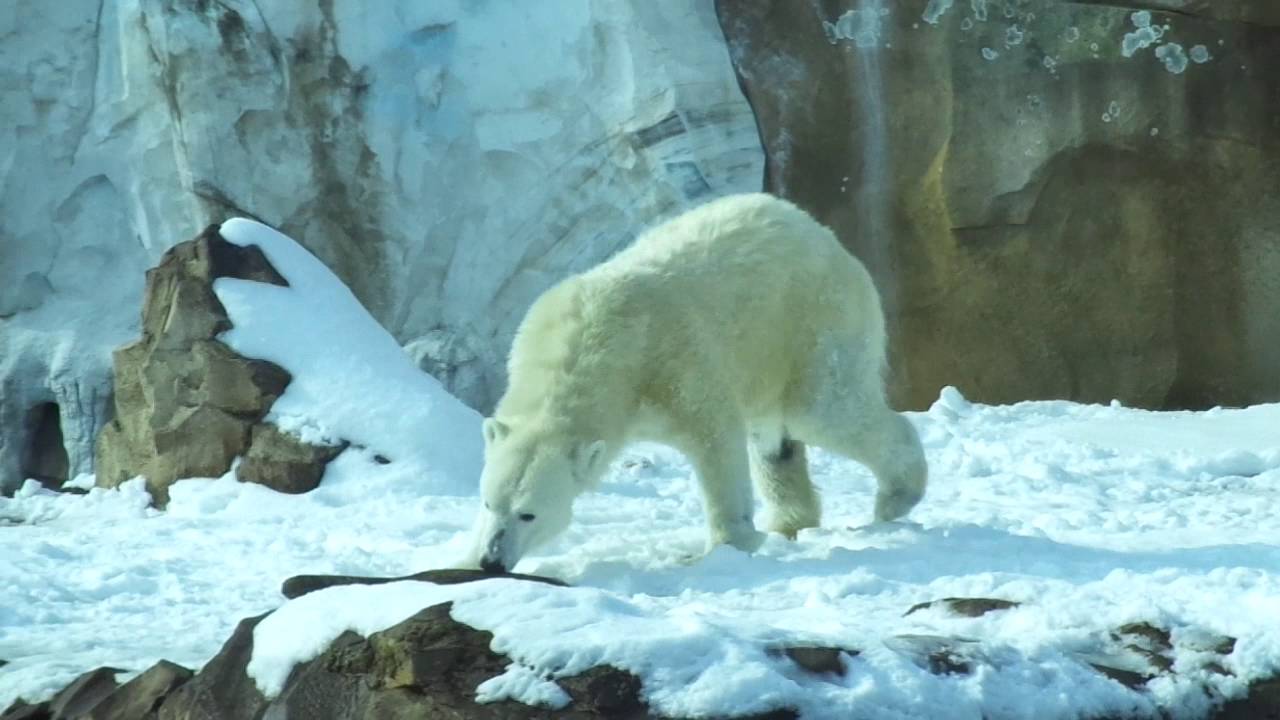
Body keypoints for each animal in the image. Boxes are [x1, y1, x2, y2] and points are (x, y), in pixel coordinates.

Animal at [467, 193, 927, 572]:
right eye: (489, 502)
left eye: (528, 513)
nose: (493, 560)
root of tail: (825, 235)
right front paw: (467, 556)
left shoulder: (670, 363)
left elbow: (714, 436)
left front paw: (723, 546)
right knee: (774, 438)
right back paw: (788, 519)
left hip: (811, 320)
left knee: (820, 410)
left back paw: (896, 496)